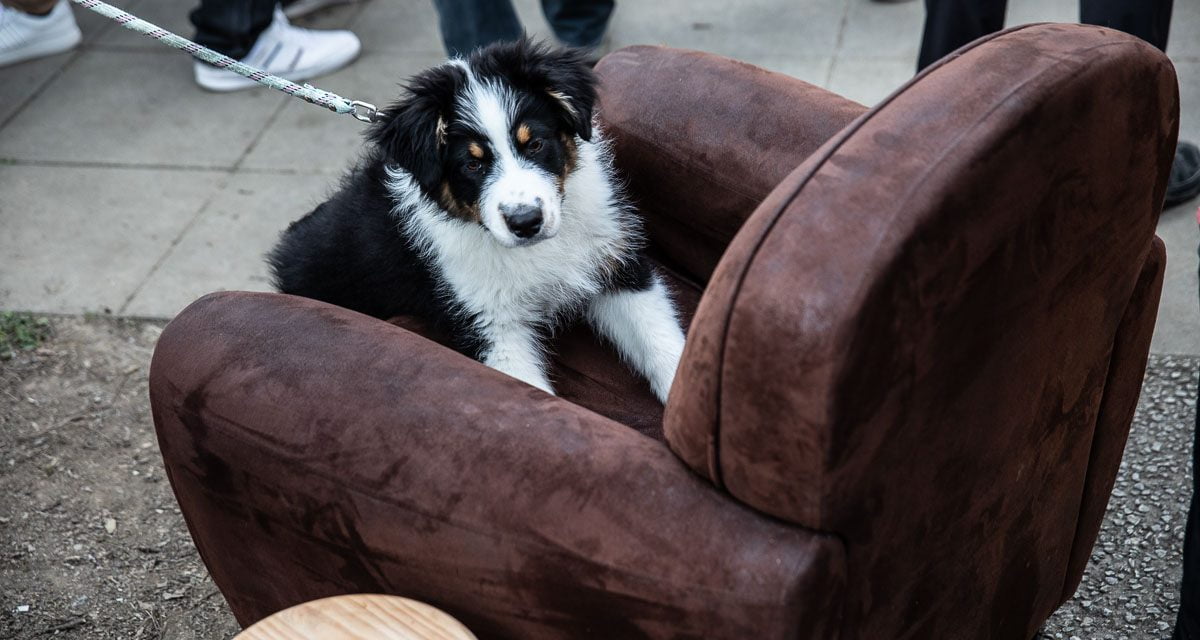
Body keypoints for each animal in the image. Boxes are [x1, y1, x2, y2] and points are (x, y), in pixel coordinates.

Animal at [270, 38, 686, 398]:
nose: (526, 222)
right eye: (472, 164)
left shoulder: (617, 265)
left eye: (535, 143)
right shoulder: (488, 323)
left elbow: (662, 341)